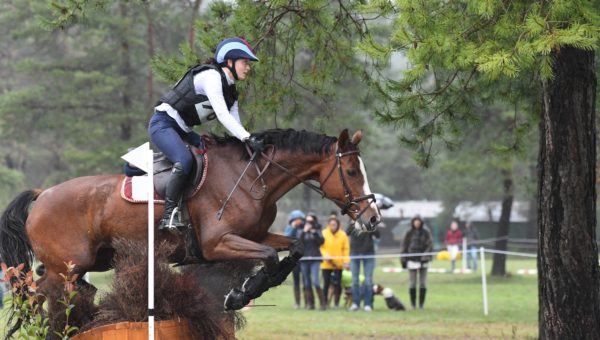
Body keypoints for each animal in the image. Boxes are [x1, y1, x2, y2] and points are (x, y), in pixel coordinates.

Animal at [0, 127, 382, 324]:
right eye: (351, 172)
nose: (373, 219)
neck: (252, 179)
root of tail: (43, 194)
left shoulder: (255, 235)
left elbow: (295, 248)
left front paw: (251, 288)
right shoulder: (218, 243)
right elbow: (270, 256)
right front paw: (242, 293)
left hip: (88, 263)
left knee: (53, 293)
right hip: (66, 267)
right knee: (35, 295)